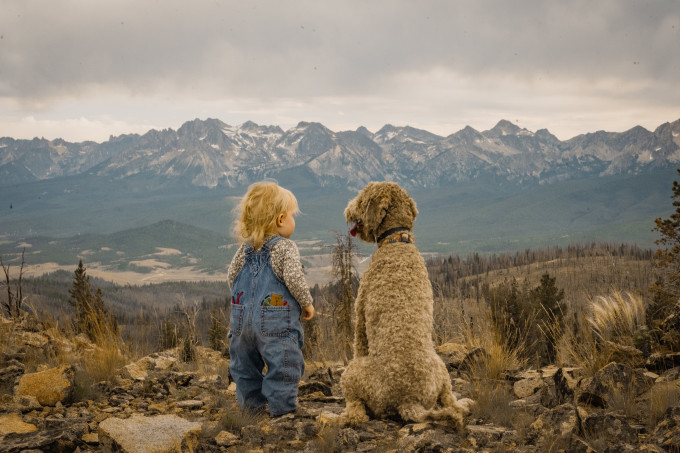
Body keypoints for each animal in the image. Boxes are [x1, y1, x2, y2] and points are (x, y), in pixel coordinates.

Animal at [338, 181, 470, 428]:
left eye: (361, 199)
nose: (347, 210)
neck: (397, 240)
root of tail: (409, 400)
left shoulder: (360, 314)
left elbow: (359, 340)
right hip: (441, 368)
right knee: (449, 400)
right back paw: (464, 403)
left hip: (353, 374)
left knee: (357, 412)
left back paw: (339, 417)